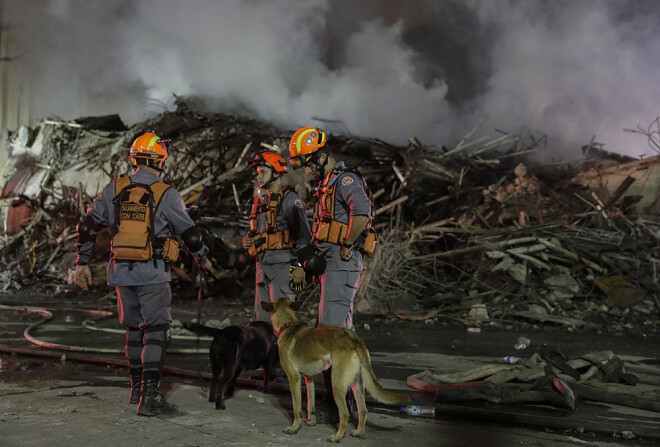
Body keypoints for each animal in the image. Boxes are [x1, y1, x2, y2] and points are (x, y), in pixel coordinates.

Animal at [262, 300, 408, 442]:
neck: (288, 326)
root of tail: (355, 340)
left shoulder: (294, 378)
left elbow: (296, 408)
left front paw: (294, 428)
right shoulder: (309, 379)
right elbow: (311, 404)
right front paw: (311, 422)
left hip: (337, 386)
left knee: (344, 413)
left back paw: (337, 437)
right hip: (356, 385)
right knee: (363, 410)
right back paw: (358, 433)